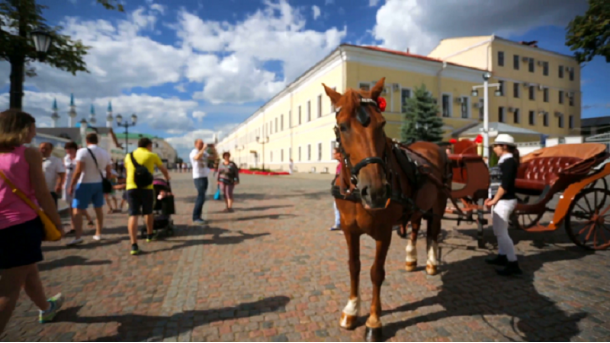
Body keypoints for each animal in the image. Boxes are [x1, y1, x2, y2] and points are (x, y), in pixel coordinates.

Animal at [326, 78, 448, 343]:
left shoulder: (384, 233)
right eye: (343, 126)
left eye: (381, 124)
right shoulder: (350, 231)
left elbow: (376, 272)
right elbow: (354, 266)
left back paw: (432, 262)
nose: (376, 191)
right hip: (417, 208)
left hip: (439, 205)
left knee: (433, 232)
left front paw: (374, 321)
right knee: (416, 228)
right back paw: (411, 258)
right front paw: (351, 310)